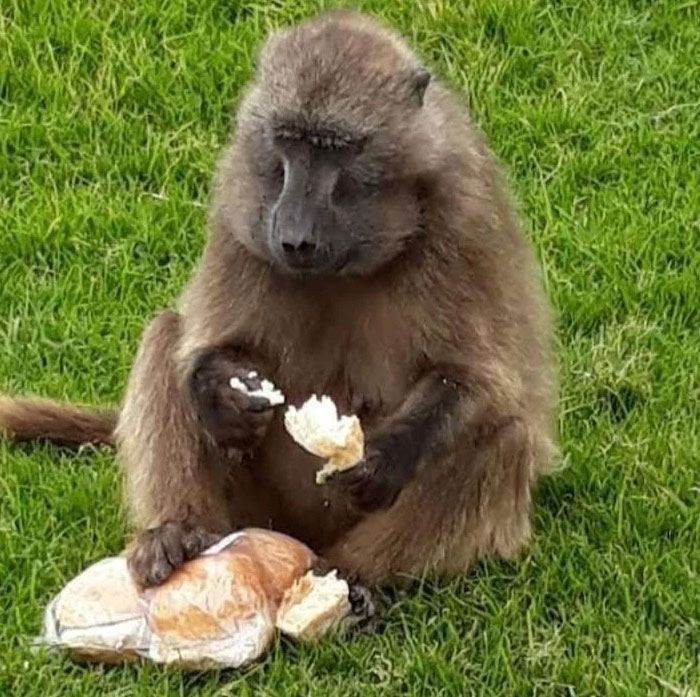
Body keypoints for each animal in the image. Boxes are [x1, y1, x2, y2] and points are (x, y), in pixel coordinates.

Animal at [0, 10, 556, 594]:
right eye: (289, 142)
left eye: (335, 148)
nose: (294, 237)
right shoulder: (237, 197)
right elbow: (207, 343)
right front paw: (220, 393)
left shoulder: (464, 215)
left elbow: (480, 382)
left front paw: (382, 457)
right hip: (253, 512)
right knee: (165, 337)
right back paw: (176, 533)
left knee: (505, 434)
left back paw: (354, 578)